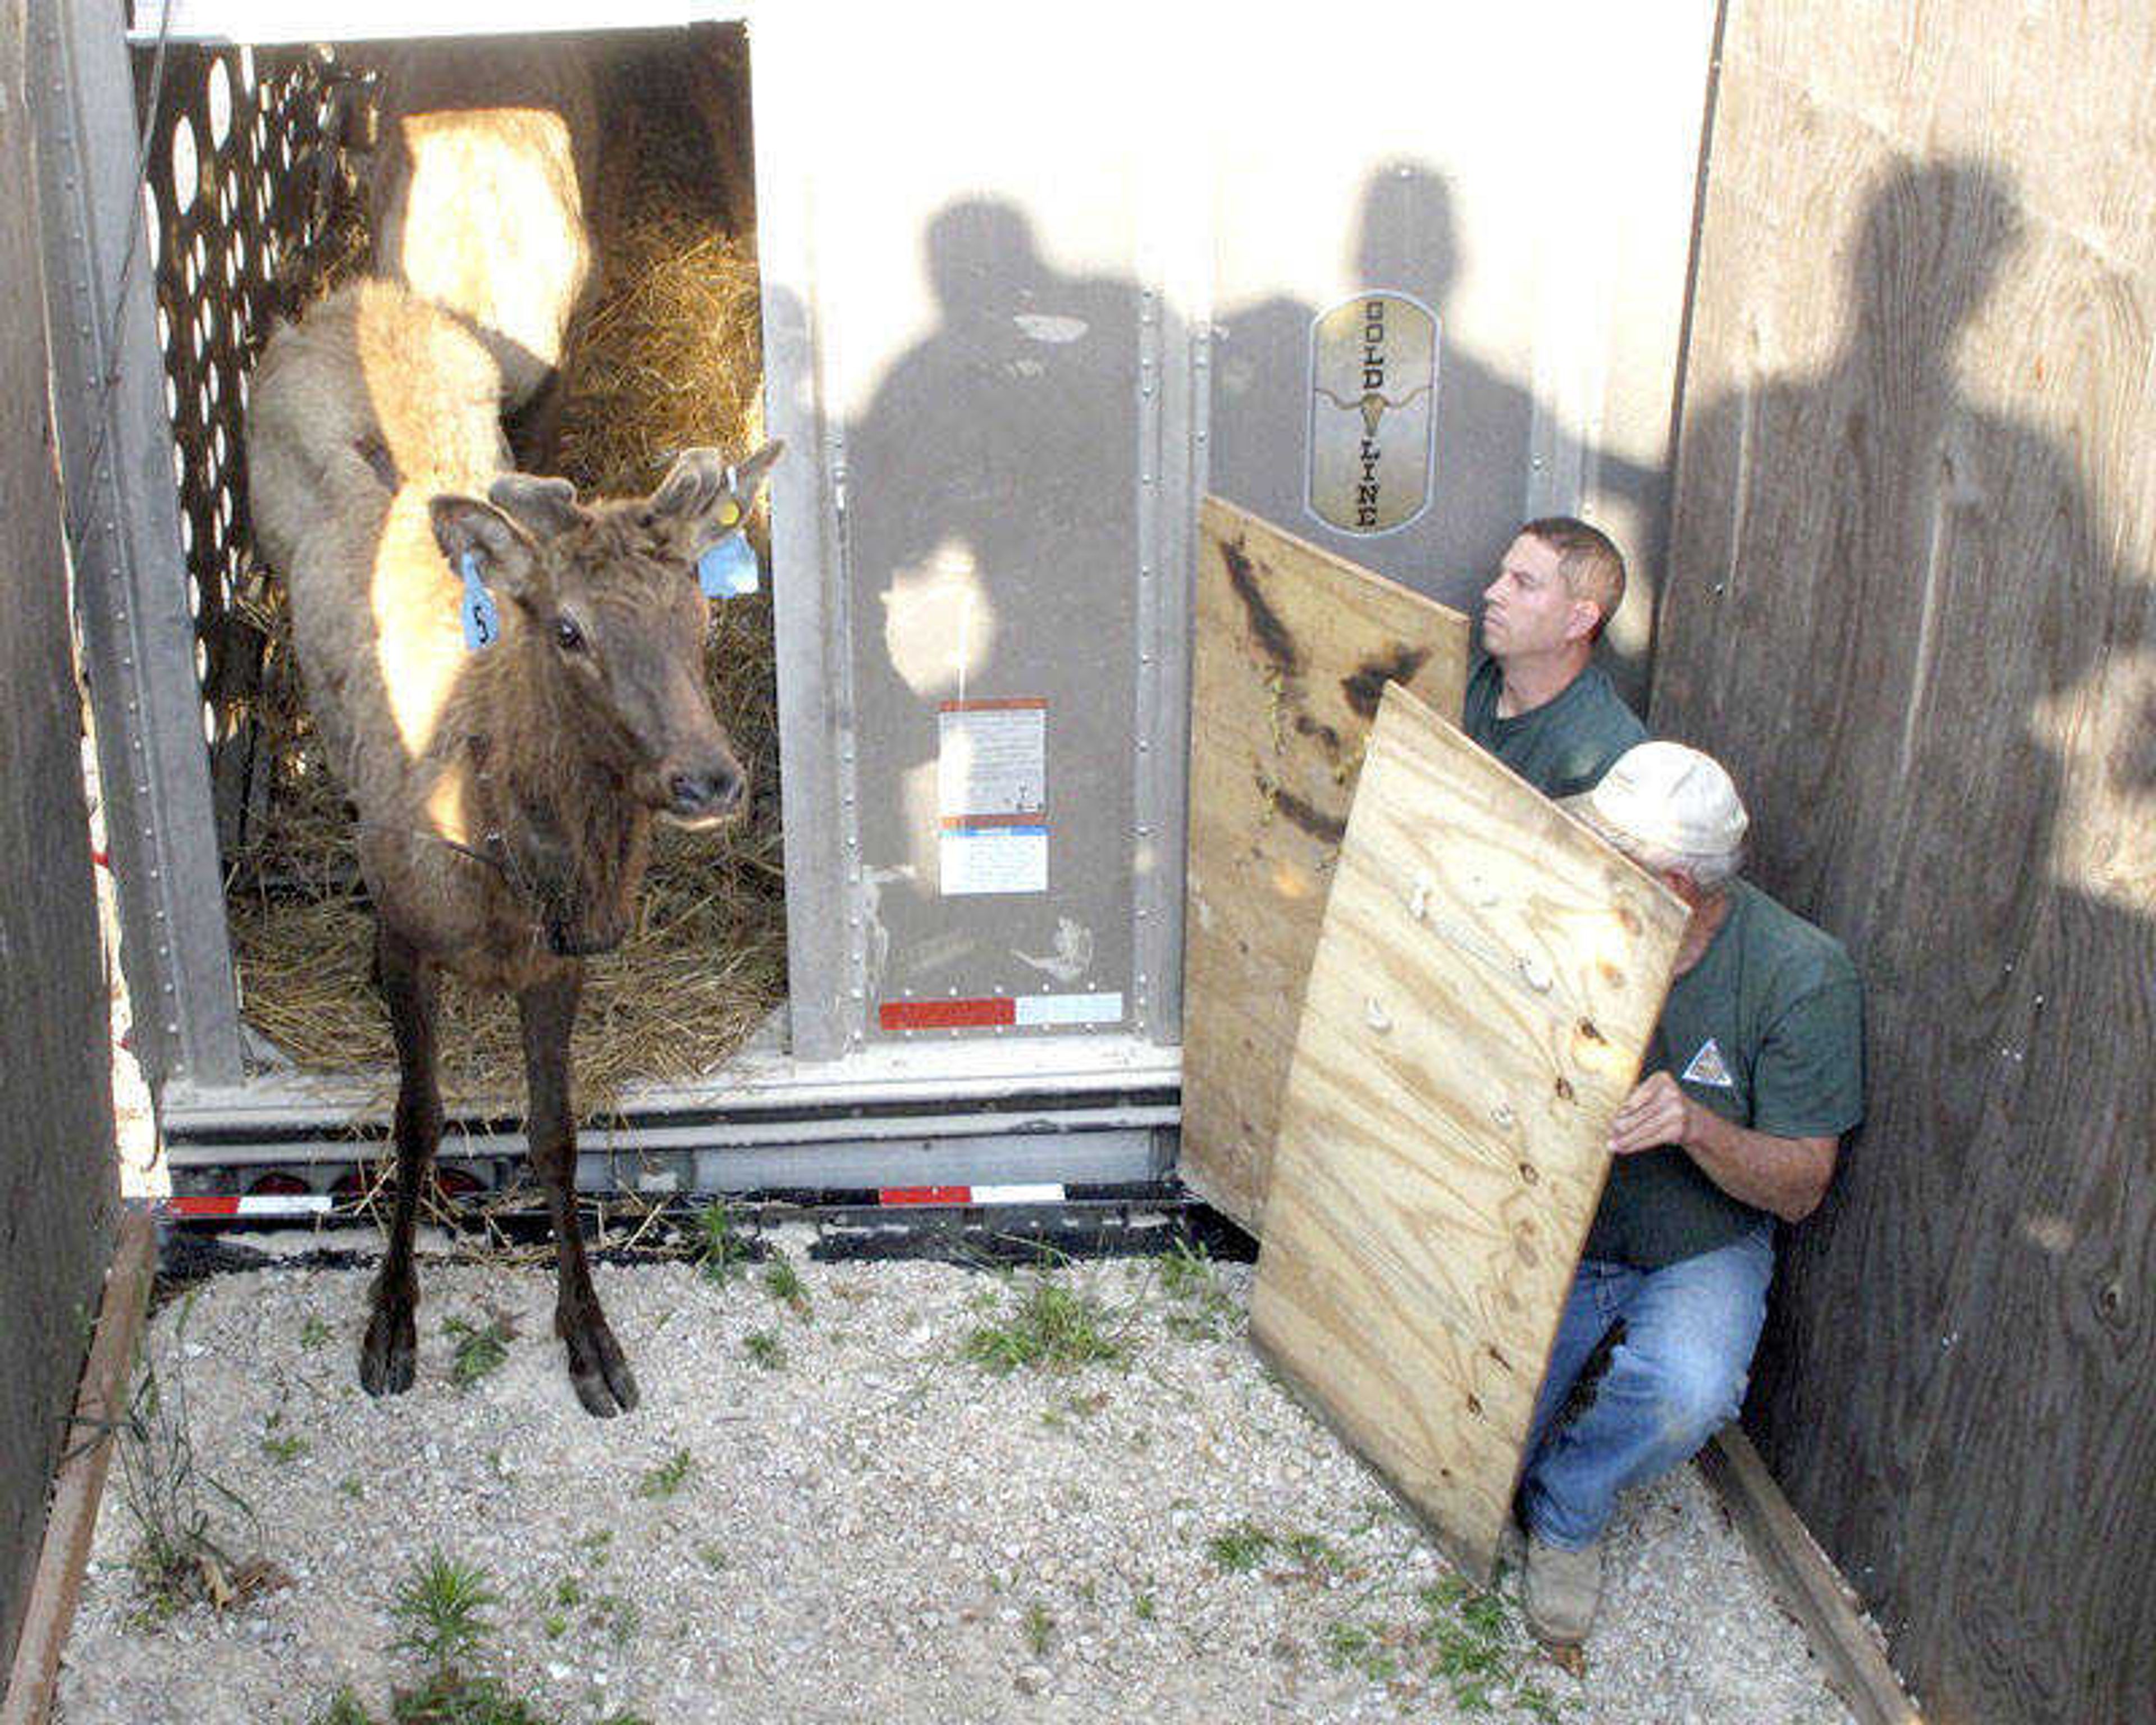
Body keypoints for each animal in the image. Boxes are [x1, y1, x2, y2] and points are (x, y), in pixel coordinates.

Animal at [250, 280, 784, 1414]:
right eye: (569, 629)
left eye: (701, 611)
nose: (711, 779)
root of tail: (355, 293)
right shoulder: (409, 932)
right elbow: (416, 1120)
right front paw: (390, 1324)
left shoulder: (562, 961)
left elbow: (555, 1136)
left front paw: (593, 1343)